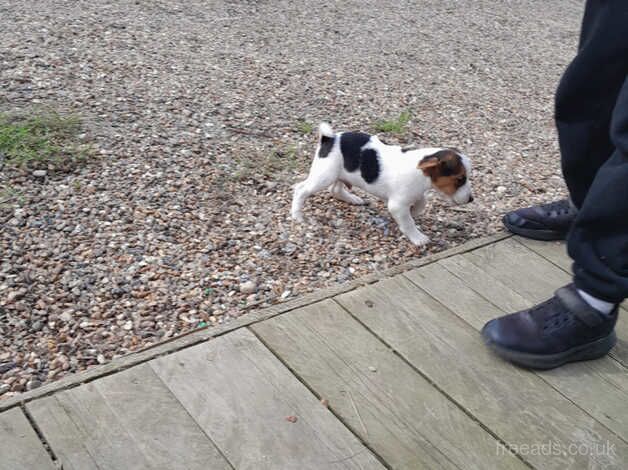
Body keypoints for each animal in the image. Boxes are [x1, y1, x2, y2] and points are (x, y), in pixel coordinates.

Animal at [292, 123, 474, 248]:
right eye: (460, 179)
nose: (471, 199)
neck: (421, 173)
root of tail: (330, 139)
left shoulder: (414, 194)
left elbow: (422, 203)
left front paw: (414, 211)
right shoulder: (397, 205)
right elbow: (408, 222)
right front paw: (417, 237)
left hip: (339, 174)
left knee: (335, 189)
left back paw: (353, 199)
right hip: (324, 176)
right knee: (300, 189)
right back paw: (297, 216)